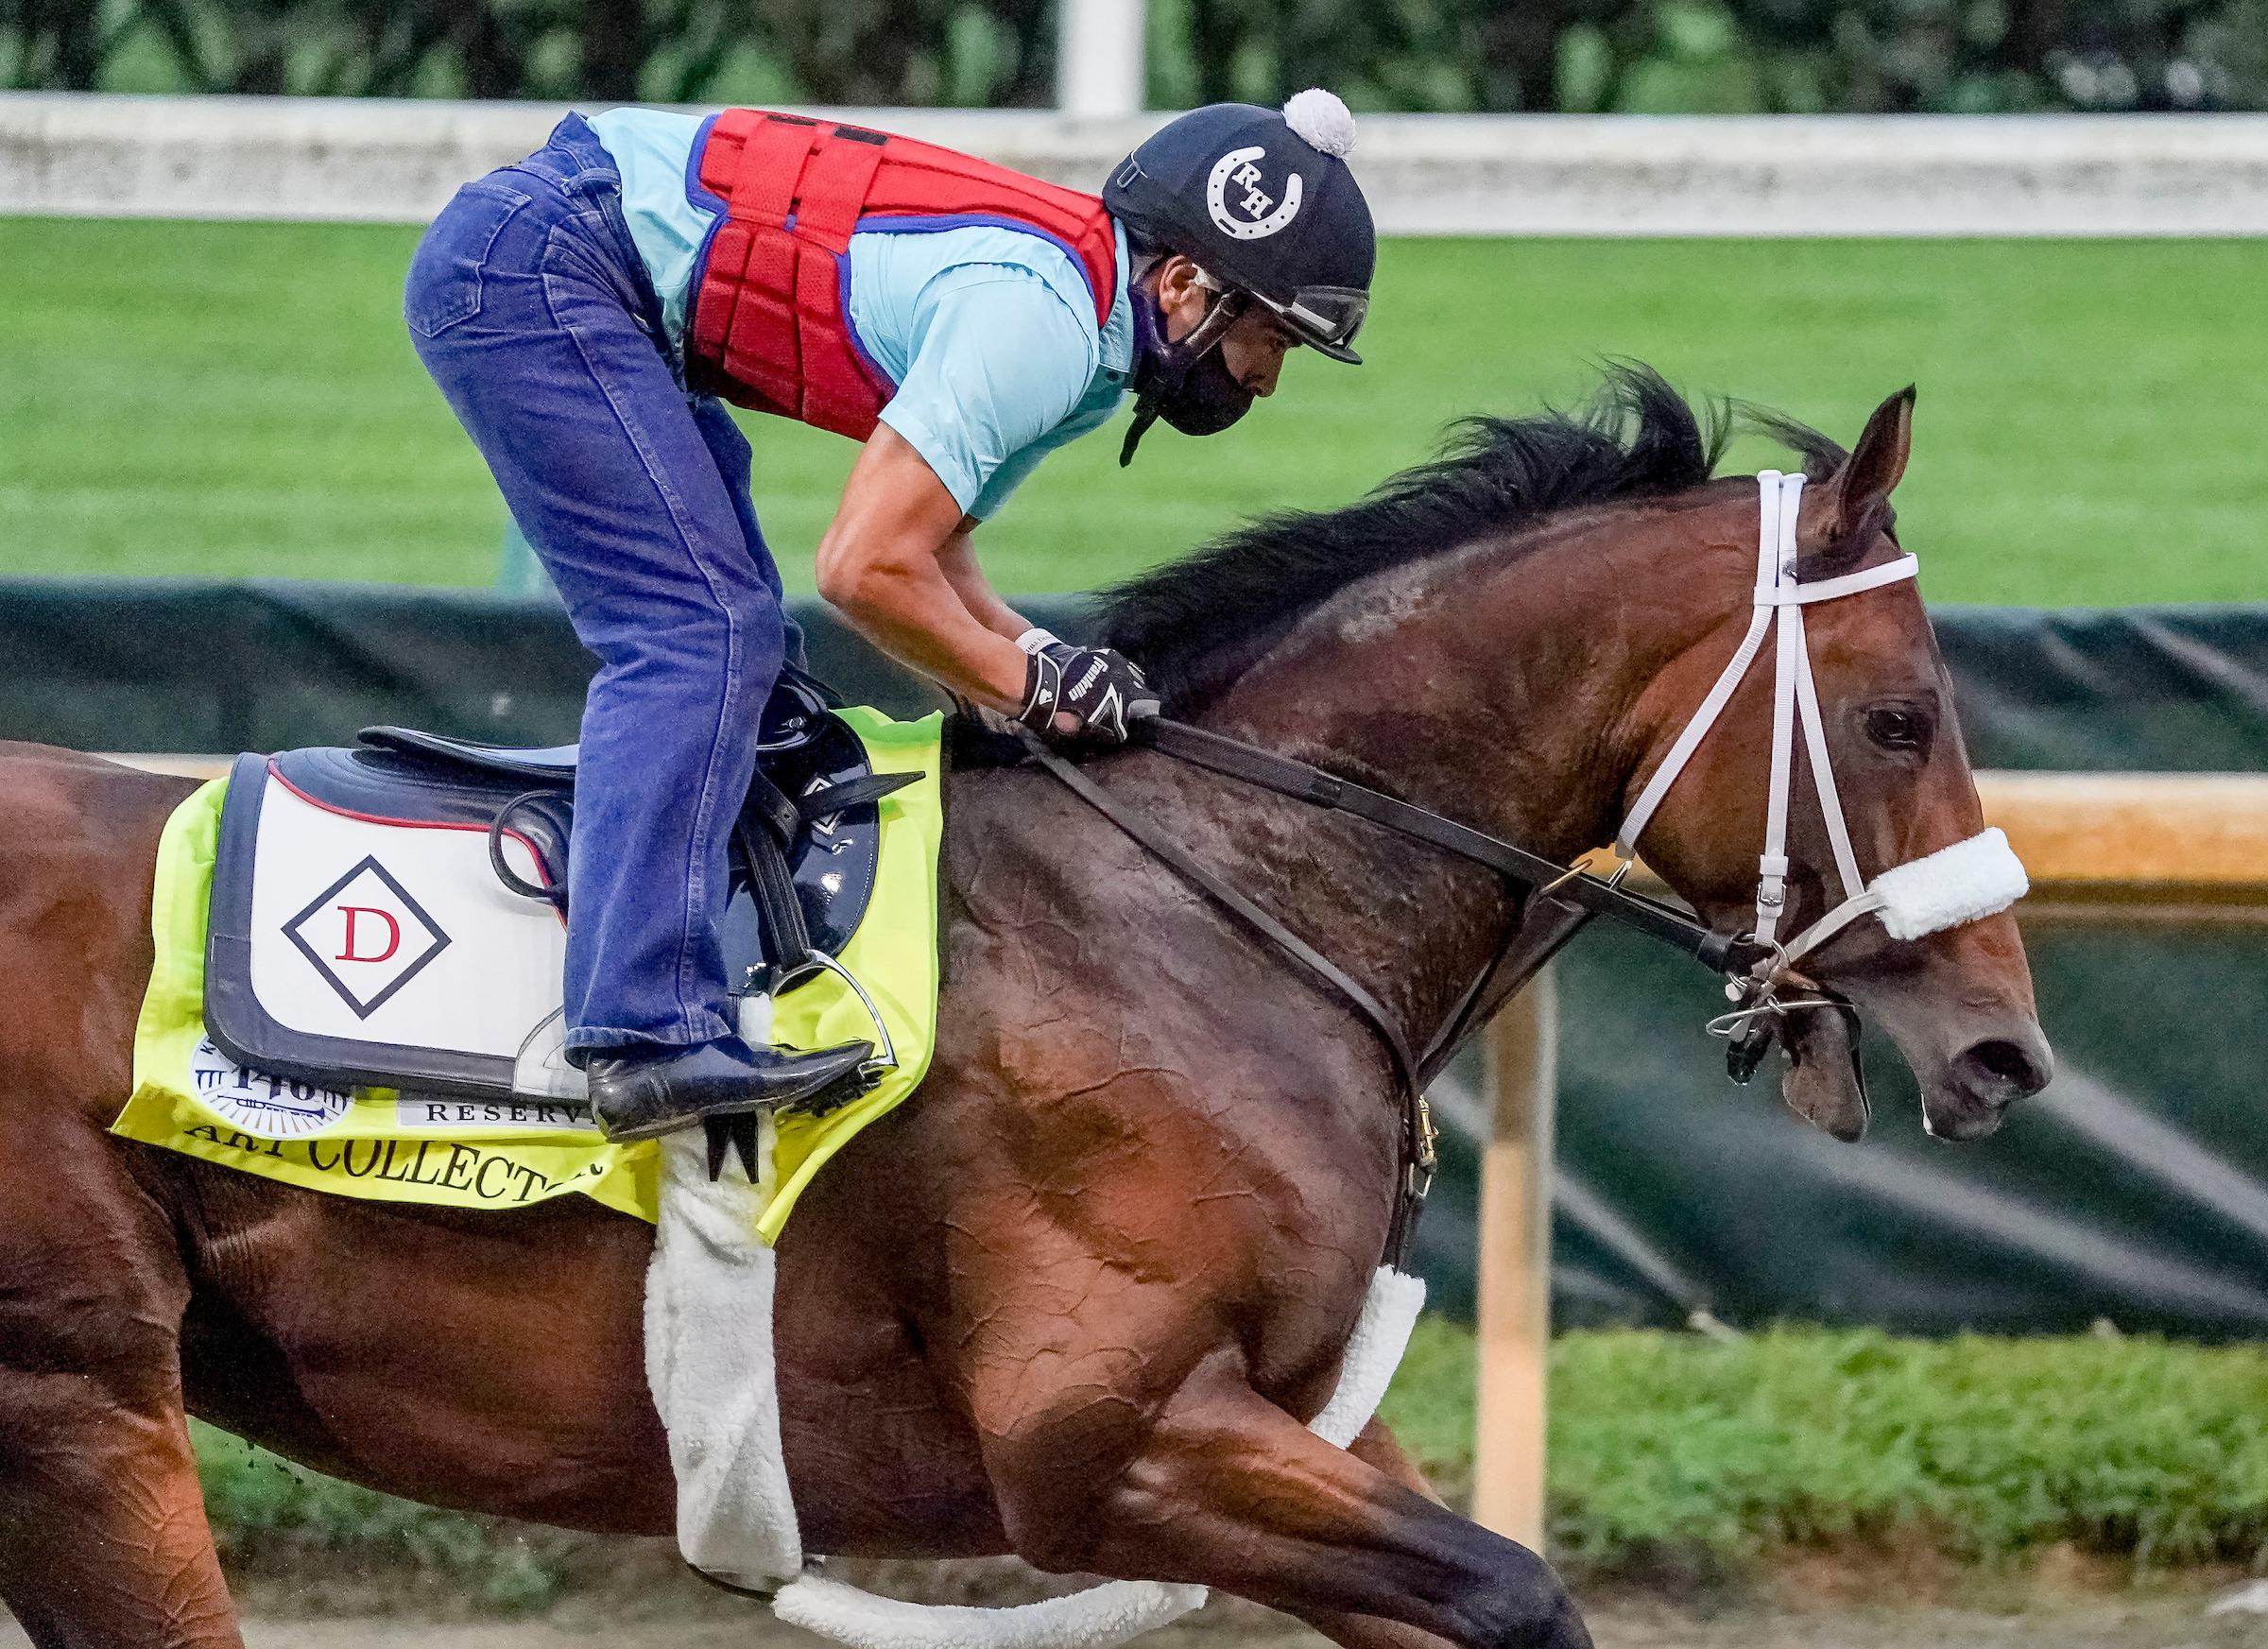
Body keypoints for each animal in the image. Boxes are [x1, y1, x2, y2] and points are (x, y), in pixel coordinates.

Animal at [0, 368, 2050, 1649]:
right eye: (1899, 716)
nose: (2005, 1049)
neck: (1217, 894)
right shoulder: (1098, 1436)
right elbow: (1517, 1588)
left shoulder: (1286, 1418)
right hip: (77, 1390)